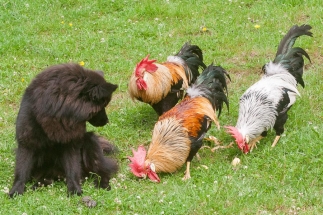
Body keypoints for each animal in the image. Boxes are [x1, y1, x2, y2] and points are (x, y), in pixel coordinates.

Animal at [9, 62, 119, 197]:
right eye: (102, 106)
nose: (107, 121)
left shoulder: (71, 143)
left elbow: (72, 169)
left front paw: (74, 190)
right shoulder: (27, 141)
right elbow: (21, 170)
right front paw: (16, 190)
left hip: (90, 142)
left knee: (102, 171)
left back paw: (103, 184)